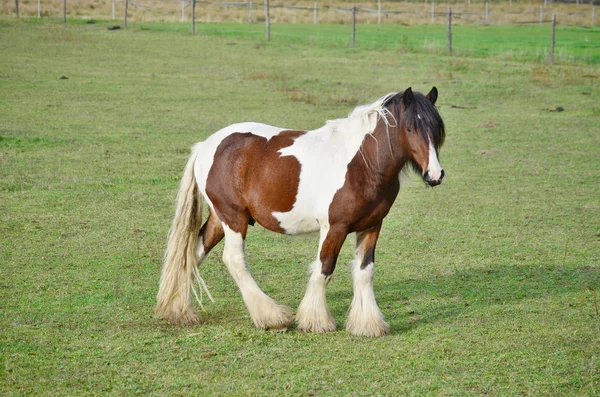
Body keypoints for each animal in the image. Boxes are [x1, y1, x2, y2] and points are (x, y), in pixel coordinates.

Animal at [156, 86, 446, 334]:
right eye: (410, 128)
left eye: (437, 130)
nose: (435, 175)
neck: (363, 163)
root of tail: (206, 145)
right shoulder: (334, 228)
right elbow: (324, 268)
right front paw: (316, 321)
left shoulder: (372, 226)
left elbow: (365, 272)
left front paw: (368, 325)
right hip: (233, 218)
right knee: (234, 260)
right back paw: (271, 318)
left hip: (219, 218)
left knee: (193, 254)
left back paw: (179, 310)